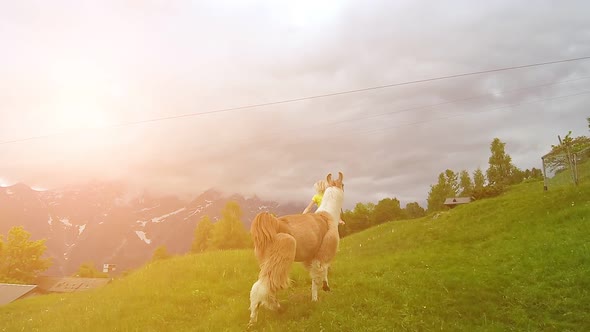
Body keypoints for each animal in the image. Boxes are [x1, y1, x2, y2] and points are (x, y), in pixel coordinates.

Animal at [247, 174, 344, 326]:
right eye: (343, 184)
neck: (329, 215)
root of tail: (272, 222)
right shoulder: (323, 252)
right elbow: (320, 273)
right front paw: (320, 294)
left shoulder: (311, 257)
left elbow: (317, 274)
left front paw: (321, 292)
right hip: (285, 248)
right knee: (261, 286)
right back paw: (253, 321)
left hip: (265, 259)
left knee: (268, 285)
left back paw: (276, 308)